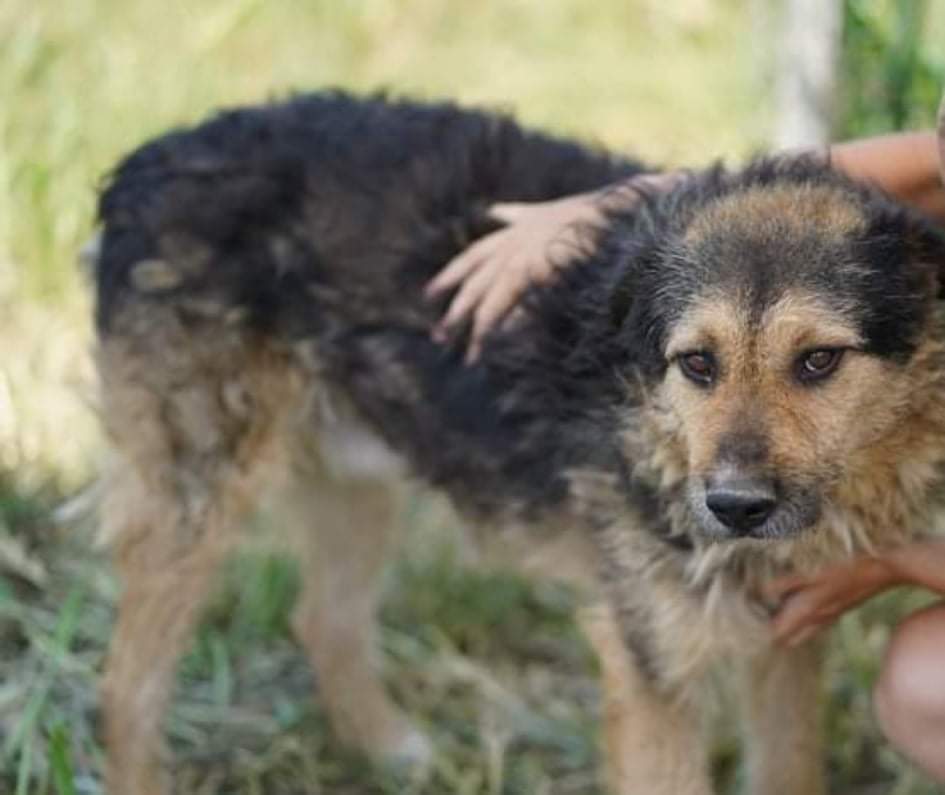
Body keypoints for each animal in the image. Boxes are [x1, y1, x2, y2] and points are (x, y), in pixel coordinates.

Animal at [92, 90, 944, 792]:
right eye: (697, 363)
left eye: (819, 360)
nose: (732, 506)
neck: (648, 420)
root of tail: (150, 157)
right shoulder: (652, 662)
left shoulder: (786, 641)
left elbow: (790, 767)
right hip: (194, 498)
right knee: (128, 684)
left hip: (355, 482)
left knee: (321, 619)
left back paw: (392, 750)